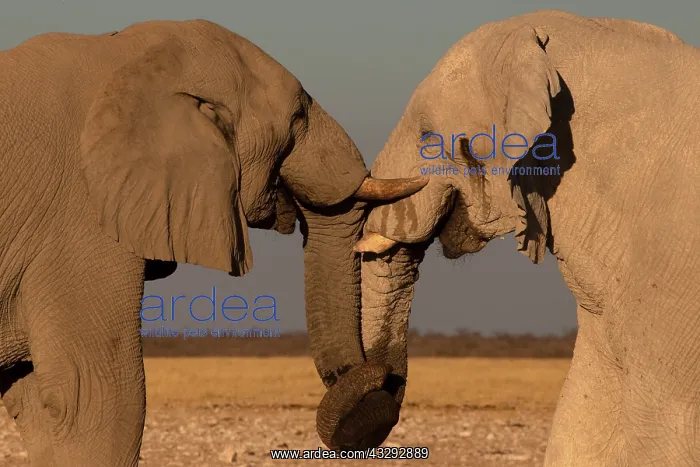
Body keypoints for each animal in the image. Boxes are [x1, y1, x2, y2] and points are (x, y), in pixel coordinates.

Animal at [0, 20, 427, 466]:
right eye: (297, 116)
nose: (382, 376)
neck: (128, 56)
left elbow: (34, 398)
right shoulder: (78, 220)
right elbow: (95, 399)